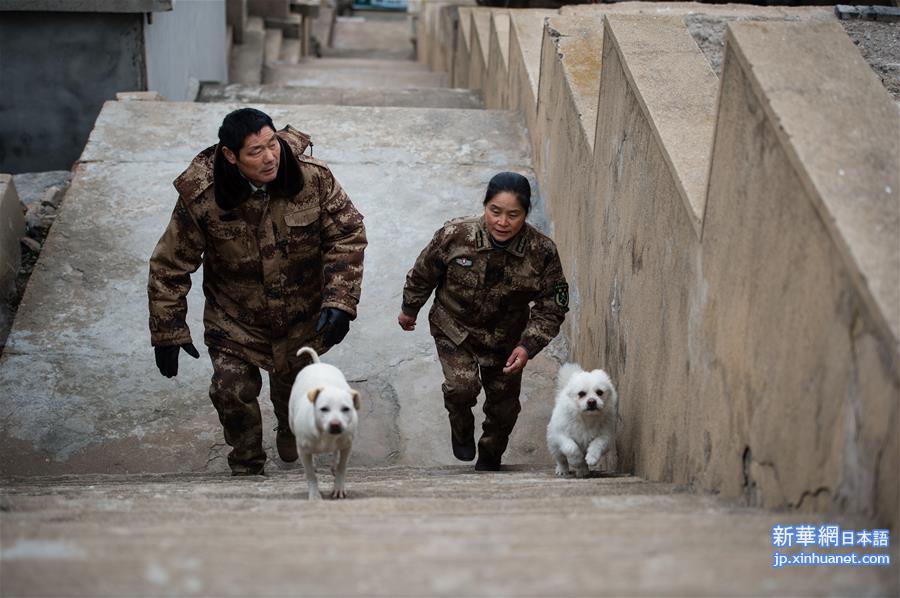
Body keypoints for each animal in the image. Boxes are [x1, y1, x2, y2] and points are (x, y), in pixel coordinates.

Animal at [288, 346, 358, 502]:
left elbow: (342, 467)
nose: (335, 425)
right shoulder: (303, 450)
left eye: (346, 409)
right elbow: (310, 475)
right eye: (323, 409)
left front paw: (338, 488)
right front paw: (315, 496)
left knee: (335, 453)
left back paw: (333, 465)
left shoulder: (348, 445)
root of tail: (318, 365)